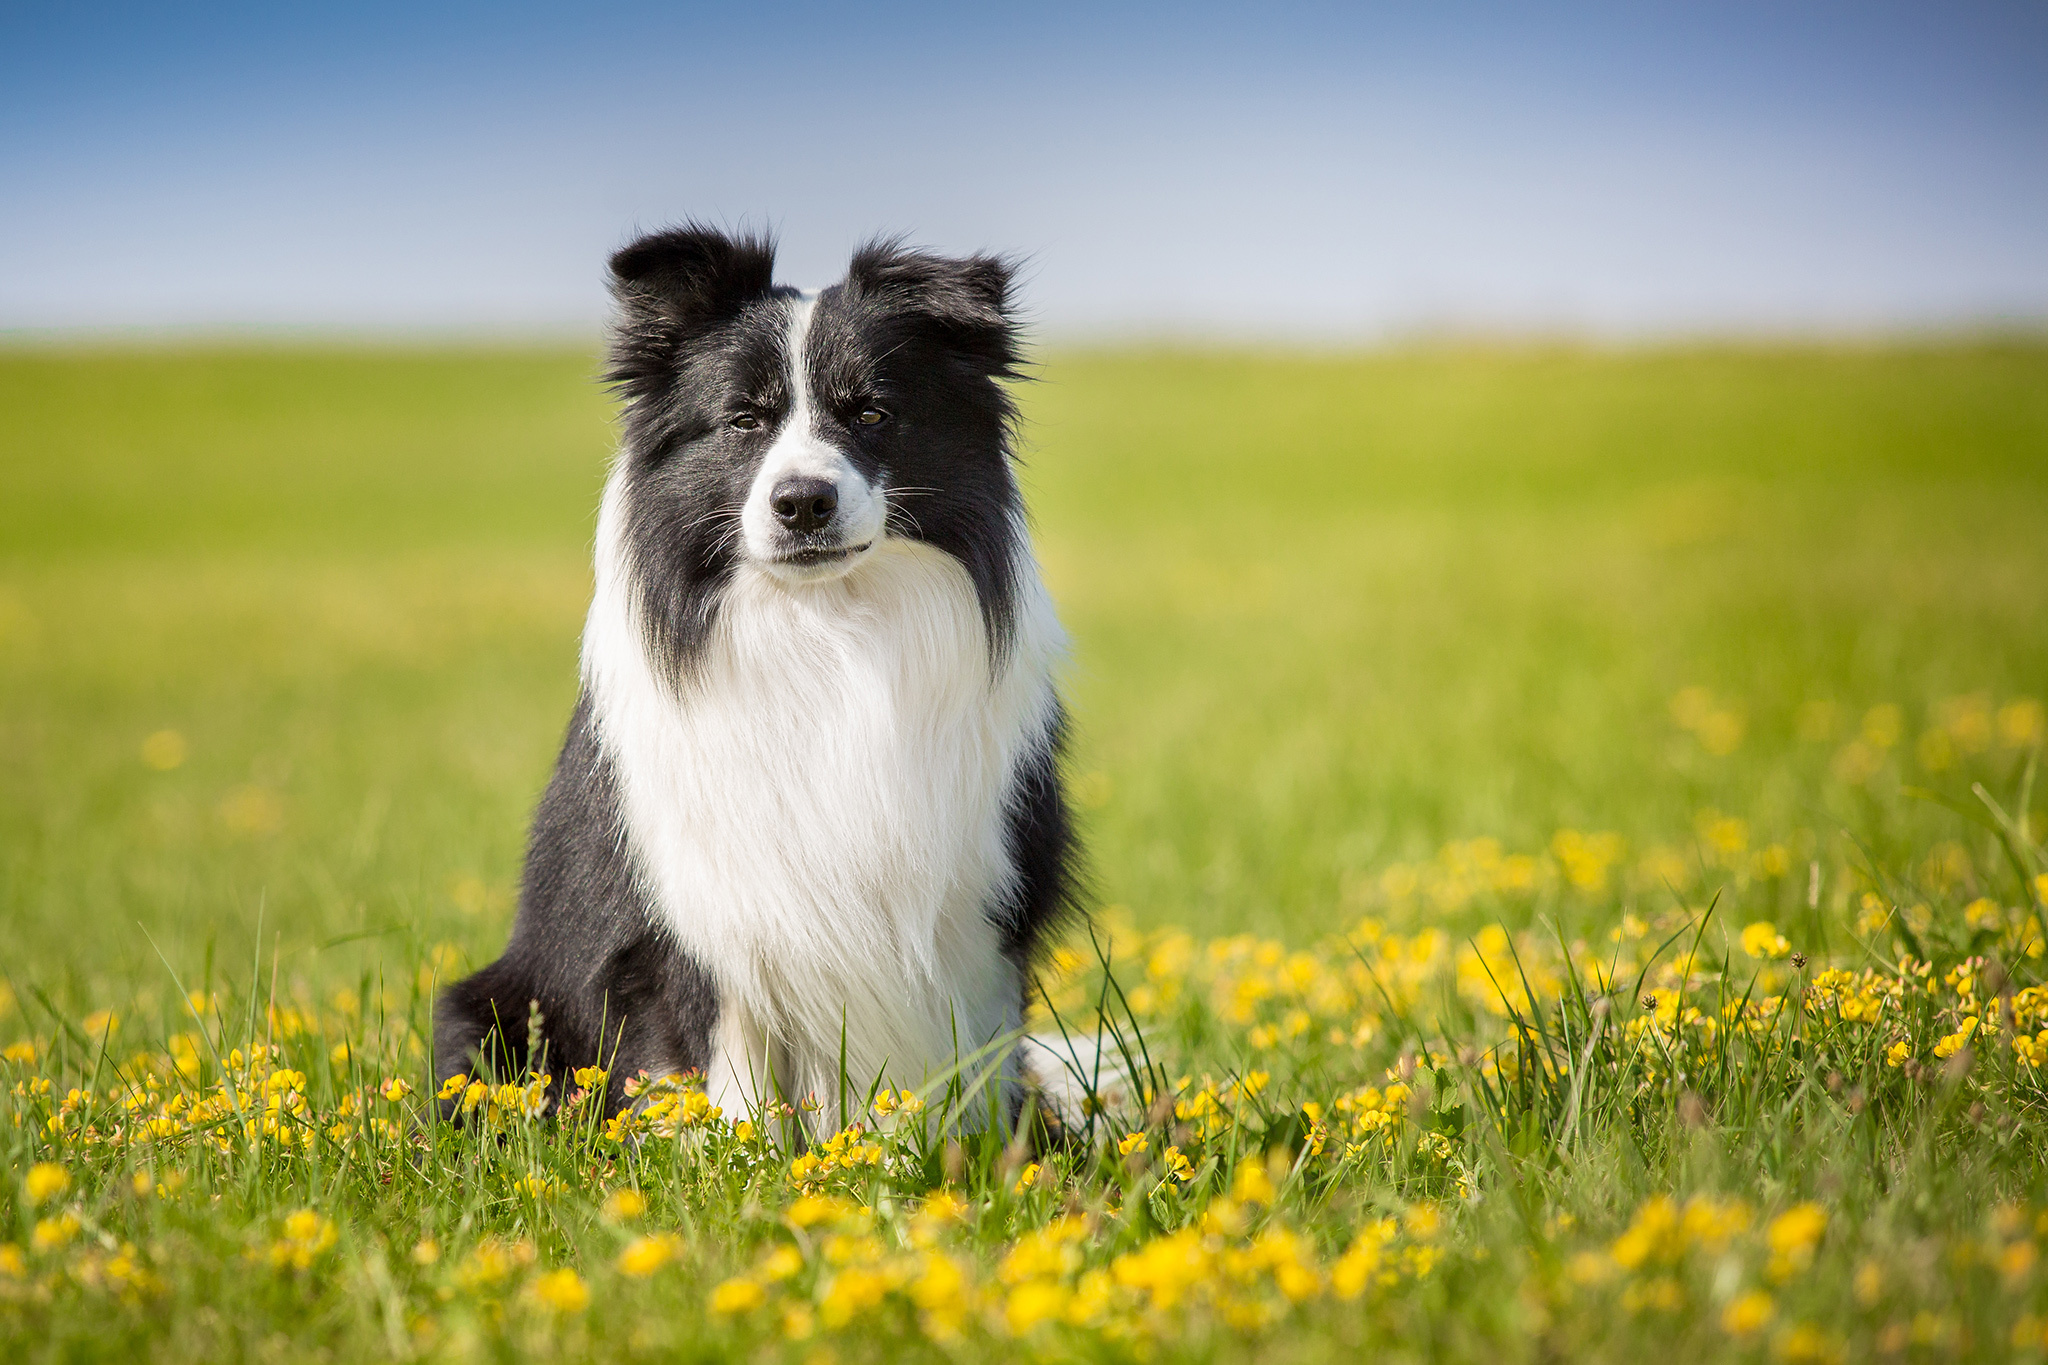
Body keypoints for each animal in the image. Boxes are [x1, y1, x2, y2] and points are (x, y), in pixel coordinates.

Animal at [425, 229, 1081, 1137]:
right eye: (743, 420)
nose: (802, 501)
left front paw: (937, 1159)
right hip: (484, 1011)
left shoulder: (976, 906)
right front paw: (744, 1163)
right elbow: (734, 1083)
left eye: (871, 412)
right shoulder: (706, 918)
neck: (822, 635)